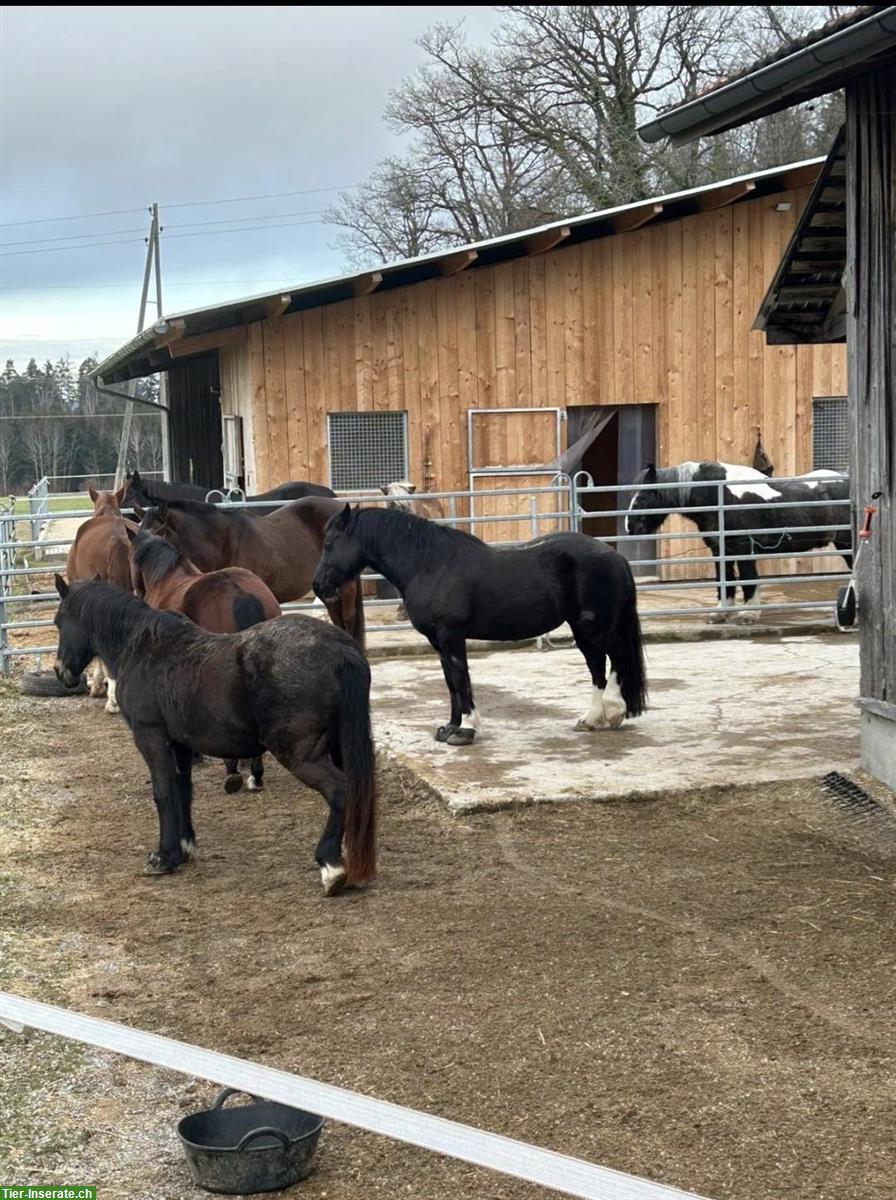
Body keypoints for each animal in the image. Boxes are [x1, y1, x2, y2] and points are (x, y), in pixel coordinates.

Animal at [53, 578, 376, 896]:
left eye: (58, 621)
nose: (61, 672)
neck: (140, 648)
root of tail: (340, 651)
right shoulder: (180, 744)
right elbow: (183, 788)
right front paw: (184, 849)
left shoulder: (151, 736)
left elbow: (163, 791)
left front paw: (164, 857)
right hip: (338, 746)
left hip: (300, 755)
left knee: (339, 790)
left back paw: (331, 867)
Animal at [313, 505, 647, 745]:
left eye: (329, 544)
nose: (318, 586)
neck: (430, 564)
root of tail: (614, 555)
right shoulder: (437, 641)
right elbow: (450, 682)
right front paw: (450, 727)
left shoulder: (451, 635)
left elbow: (461, 678)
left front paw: (467, 730)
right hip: (583, 628)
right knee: (599, 665)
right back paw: (593, 719)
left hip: (592, 627)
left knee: (614, 658)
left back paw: (609, 712)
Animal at [625, 461, 851, 621]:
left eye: (643, 496)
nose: (630, 527)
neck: (721, 496)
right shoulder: (720, 550)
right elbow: (724, 580)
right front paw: (721, 613)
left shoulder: (744, 548)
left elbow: (748, 579)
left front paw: (748, 614)